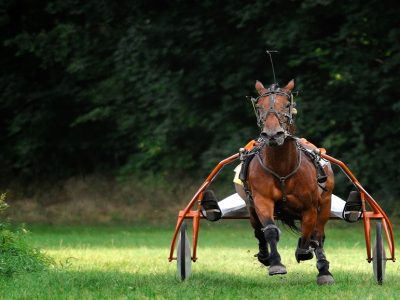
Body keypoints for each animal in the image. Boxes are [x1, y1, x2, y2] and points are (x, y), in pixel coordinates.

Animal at [242, 78, 336, 284]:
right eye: (259, 107)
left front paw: (305, 252)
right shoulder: (261, 200)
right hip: (251, 207)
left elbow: (309, 233)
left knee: (319, 234)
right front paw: (275, 263)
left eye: (286, 104)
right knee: (258, 230)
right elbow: (269, 230)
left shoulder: (310, 207)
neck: (282, 167)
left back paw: (323, 270)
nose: (272, 134)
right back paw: (264, 255)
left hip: (326, 203)